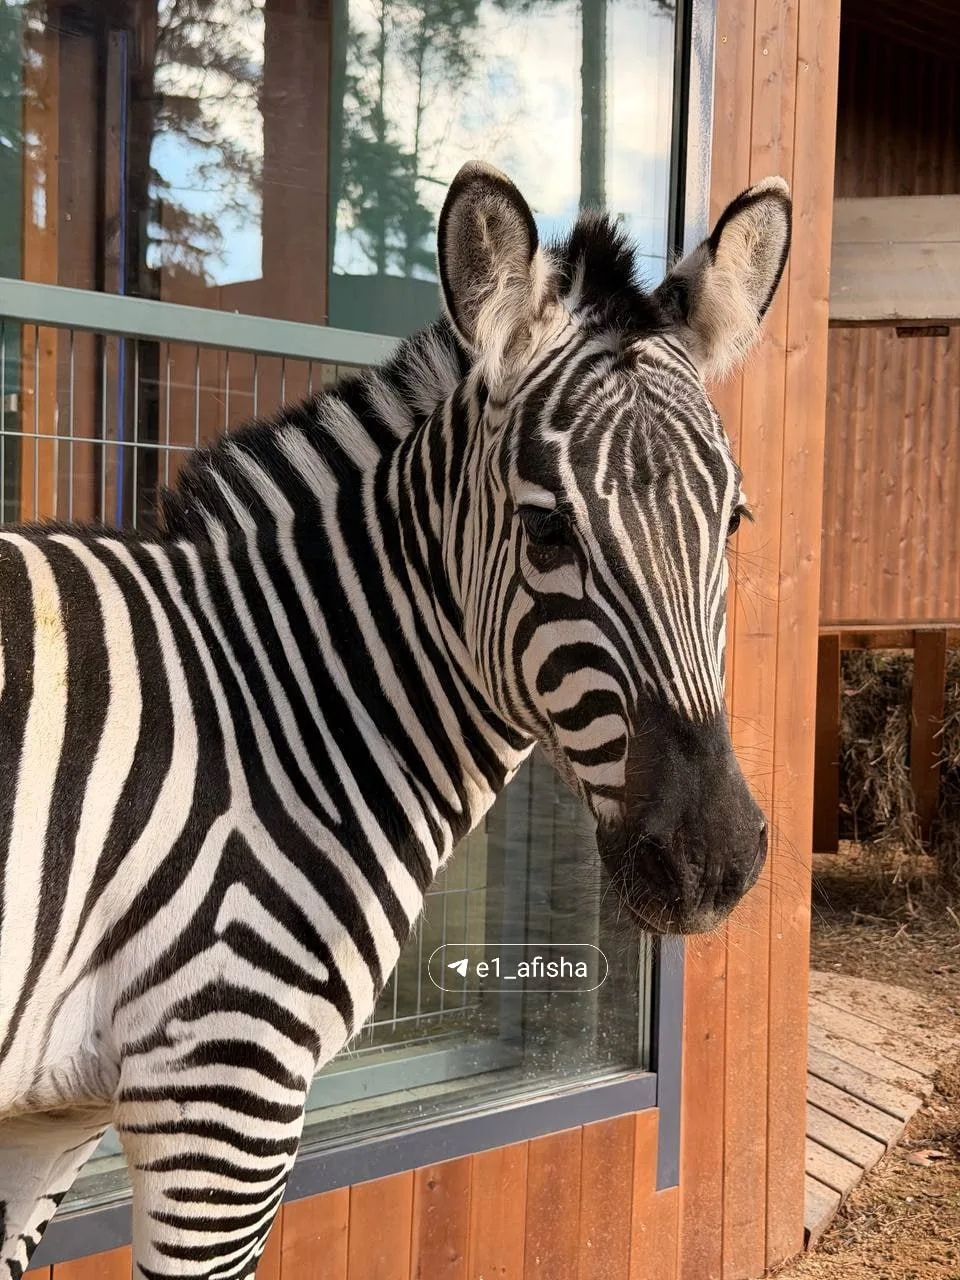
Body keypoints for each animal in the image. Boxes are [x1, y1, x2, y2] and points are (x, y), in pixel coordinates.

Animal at [0, 161, 790, 1279]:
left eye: (734, 522)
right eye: (546, 530)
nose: (712, 858)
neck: (275, 698)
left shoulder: (50, 1117)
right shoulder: (223, 1085)